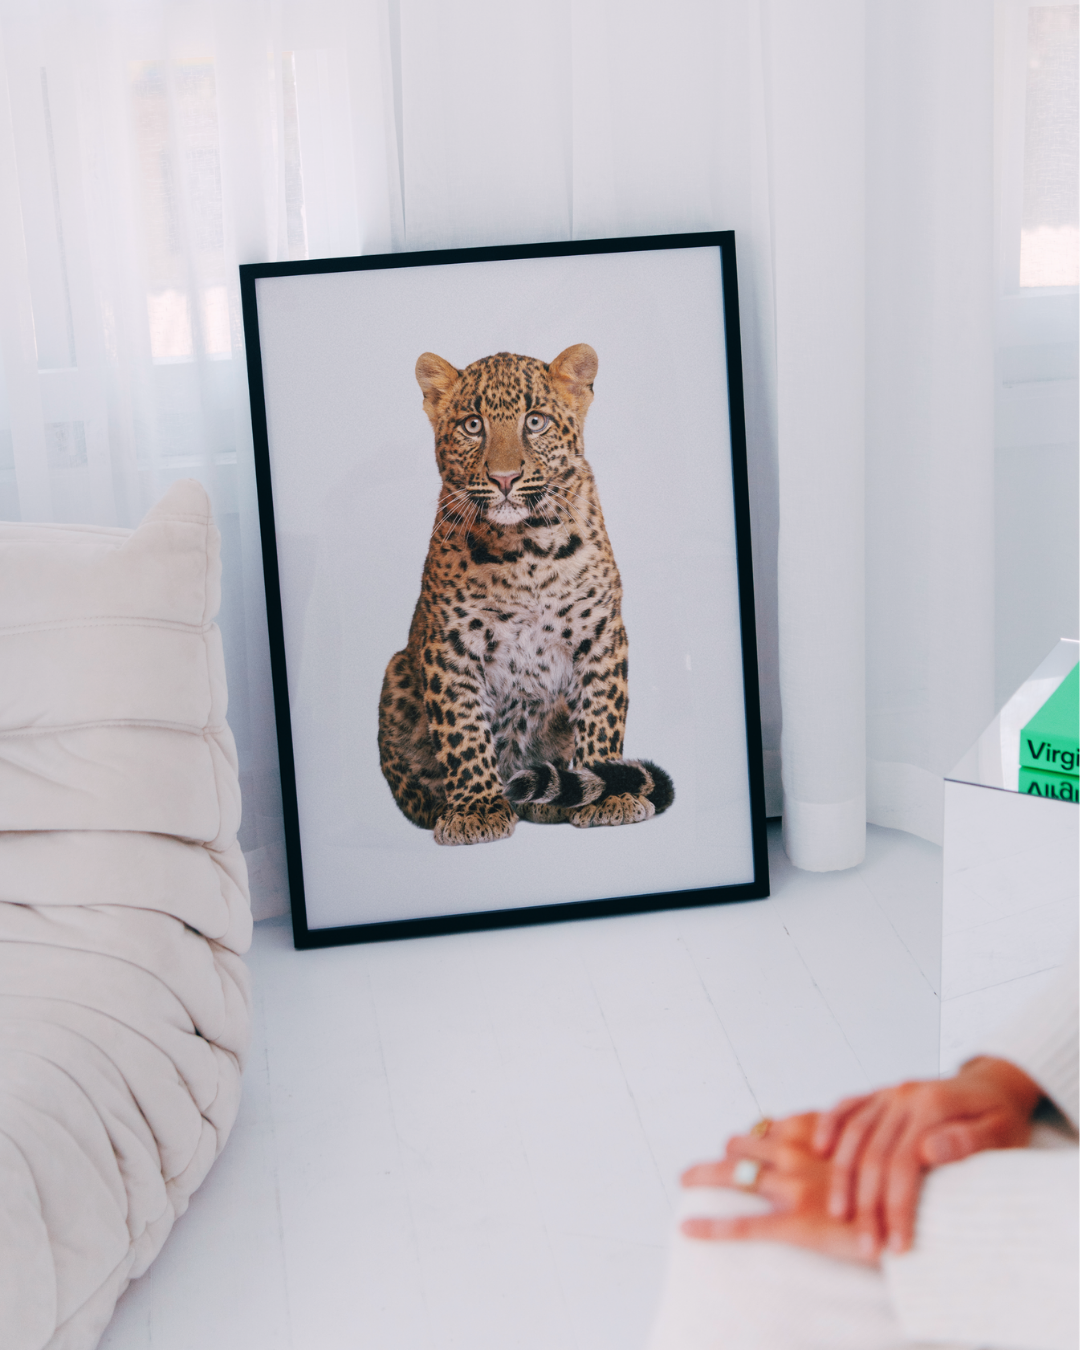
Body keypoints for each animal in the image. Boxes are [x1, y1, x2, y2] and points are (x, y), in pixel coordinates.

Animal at [377, 343, 674, 846]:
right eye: (472, 425)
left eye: (535, 421)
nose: (503, 478)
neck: (526, 550)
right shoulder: (450, 644)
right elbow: (463, 728)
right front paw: (475, 809)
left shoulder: (601, 633)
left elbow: (602, 711)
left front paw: (608, 792)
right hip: (396, 670)